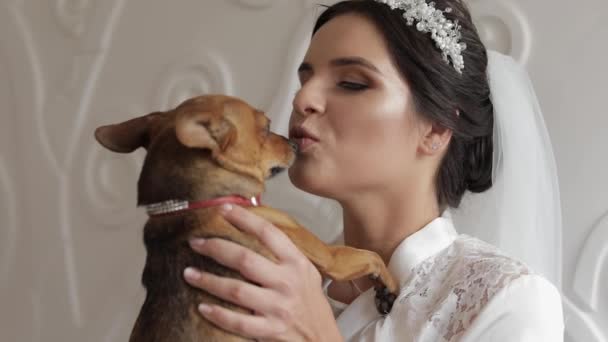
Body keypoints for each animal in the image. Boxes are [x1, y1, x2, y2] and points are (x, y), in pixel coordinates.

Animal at [94, 94, 396, 342]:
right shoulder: (329, 257)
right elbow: (369, 256)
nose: (293, 142)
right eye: (267, 127)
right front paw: (390, 286)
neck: (189, 205)